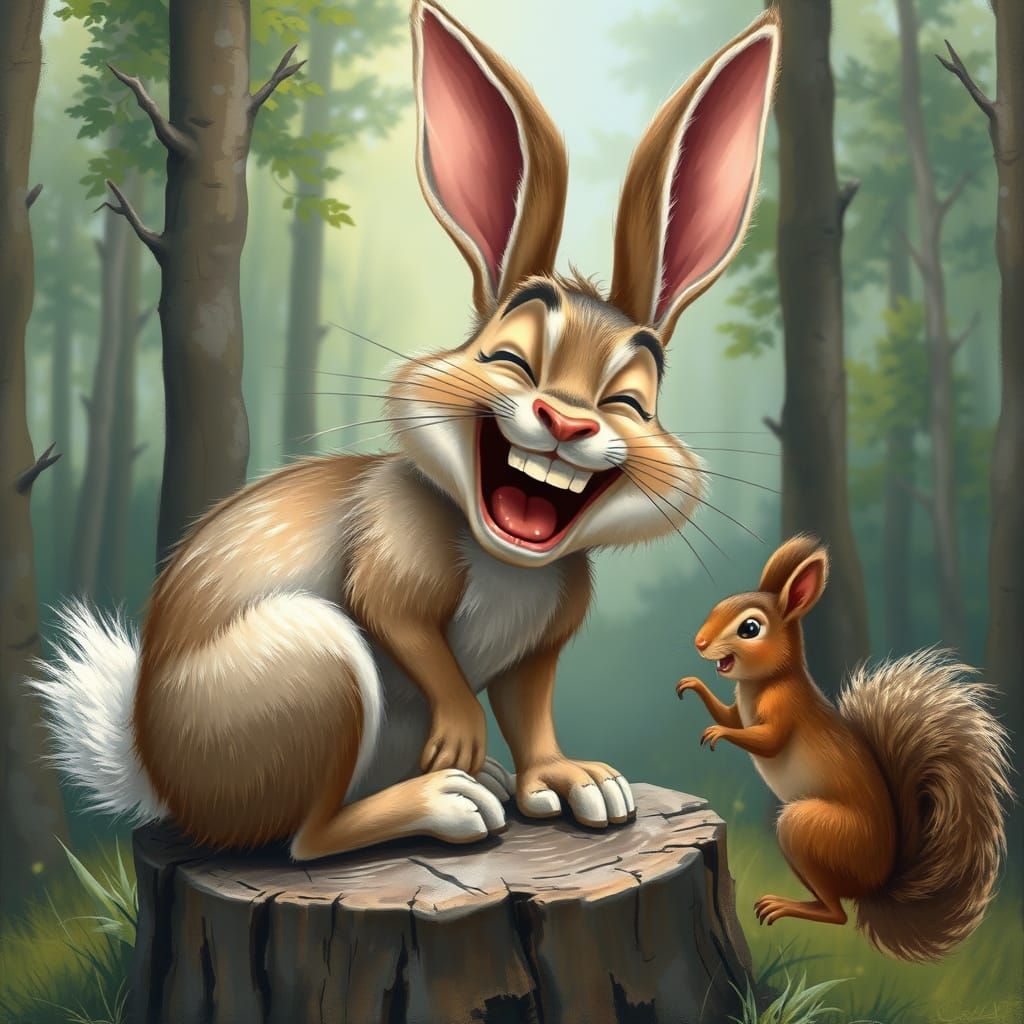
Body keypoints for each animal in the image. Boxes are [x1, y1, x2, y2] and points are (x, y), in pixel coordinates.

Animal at [34, 1, 782, 861]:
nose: (566, 419)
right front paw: (462, 742)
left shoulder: (540, 650)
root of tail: (160, 780)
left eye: (632, 403)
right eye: (507, 359)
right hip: (314, 669)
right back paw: (448, 798)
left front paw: (577, 786)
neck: (506, 558)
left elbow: (532, 715)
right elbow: (415, 638)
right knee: (309, 838)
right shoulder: (390, 569)